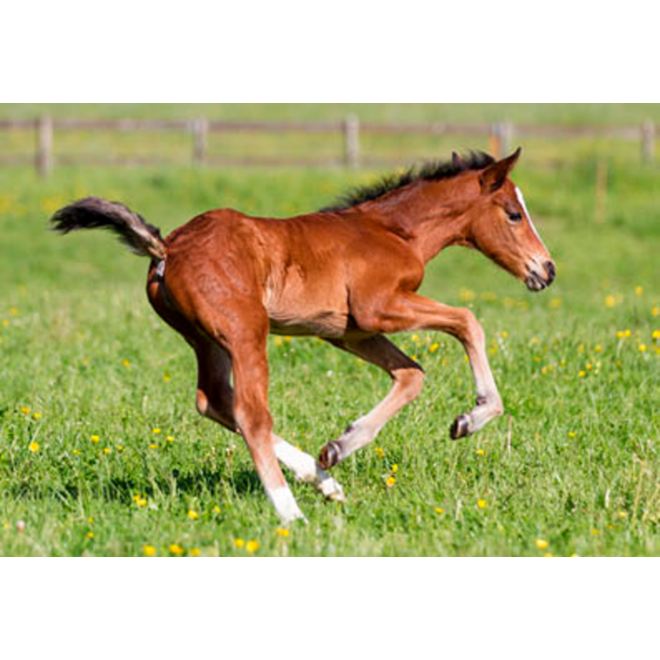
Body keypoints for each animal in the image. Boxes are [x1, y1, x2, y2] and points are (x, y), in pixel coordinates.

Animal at [51, 148, 555, 524]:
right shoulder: (379, 307)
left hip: (205, 339)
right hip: (246, 332)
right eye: (514, 214)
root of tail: (167, 248)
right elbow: (468, 320)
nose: (546, 270)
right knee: (250, 413)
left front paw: (338, 447)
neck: (394, 232)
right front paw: (474, 416)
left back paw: (324, 481)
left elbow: (412, 374)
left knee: (214, 399)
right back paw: (291, 513)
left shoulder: (349, 332)